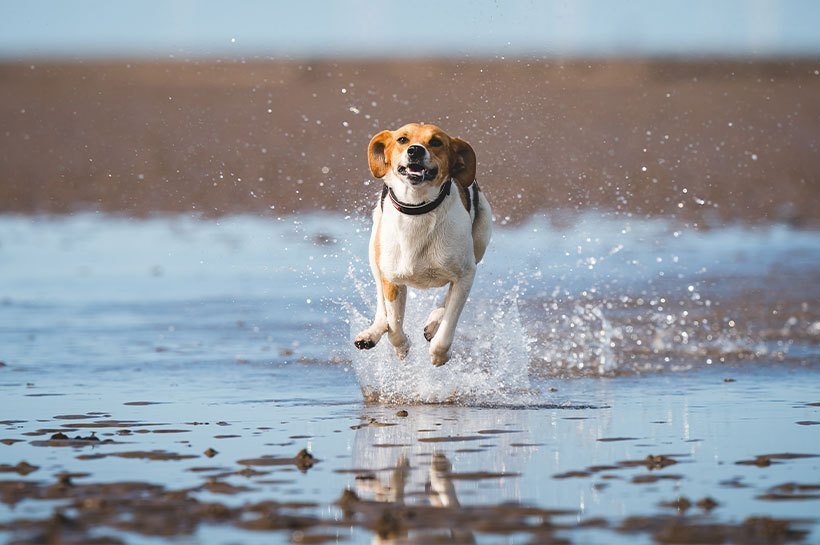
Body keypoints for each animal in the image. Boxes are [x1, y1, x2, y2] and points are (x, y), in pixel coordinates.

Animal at [350, 124, 490, 366]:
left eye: (436, 142)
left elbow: (449, 321)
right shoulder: (392, 279)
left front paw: (439, 354)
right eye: (402, 139)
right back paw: (372, 333)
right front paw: (402, 347)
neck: (417, 208)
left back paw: (433, 324)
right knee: (381, 304)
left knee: (448, 297)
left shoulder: (466, 273)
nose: (415, 150)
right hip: (374, 252)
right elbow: (394, 327)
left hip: (481, 238)